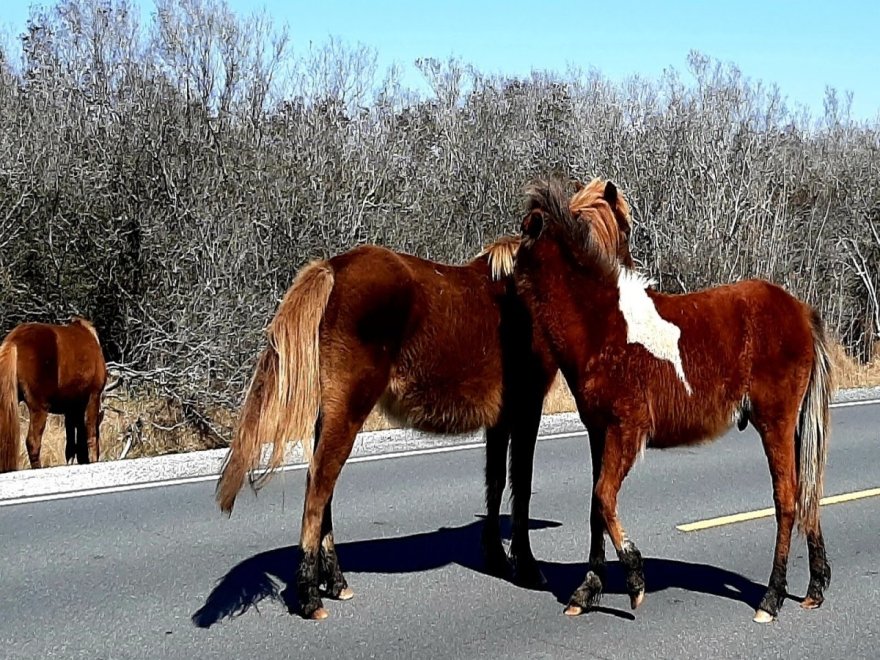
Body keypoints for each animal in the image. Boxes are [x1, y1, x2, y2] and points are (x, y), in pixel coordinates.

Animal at [0, 318, 109, 472]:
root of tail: (13, 341)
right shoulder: (93, 397)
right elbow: (91, 435)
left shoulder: (71, 409)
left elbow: (70, 445)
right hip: (40, 408)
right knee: (33, 442)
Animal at [216, 226, 632, 620]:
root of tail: (333, 268)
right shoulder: (526, 409)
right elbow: (522, 484)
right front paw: (526, 567)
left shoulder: (499, 421)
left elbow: (496, 481)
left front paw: (496, 557)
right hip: (348, 410)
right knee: (318, 489)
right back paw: (309, 596)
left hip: (330, 416)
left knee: (324, 489)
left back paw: (335, 581)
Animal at [512, 177, 828, 624]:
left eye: (524, 239)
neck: (603, 325)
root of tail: (801, 311)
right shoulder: (597, 433)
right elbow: (595, 506)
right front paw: (585, 591)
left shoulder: (627, 430)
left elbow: (604, 497)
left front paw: (634, 580)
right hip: (795, 425)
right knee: (807, 492)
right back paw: (814, 589)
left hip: (776, 422)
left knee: (786, 497)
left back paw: (771, 598)